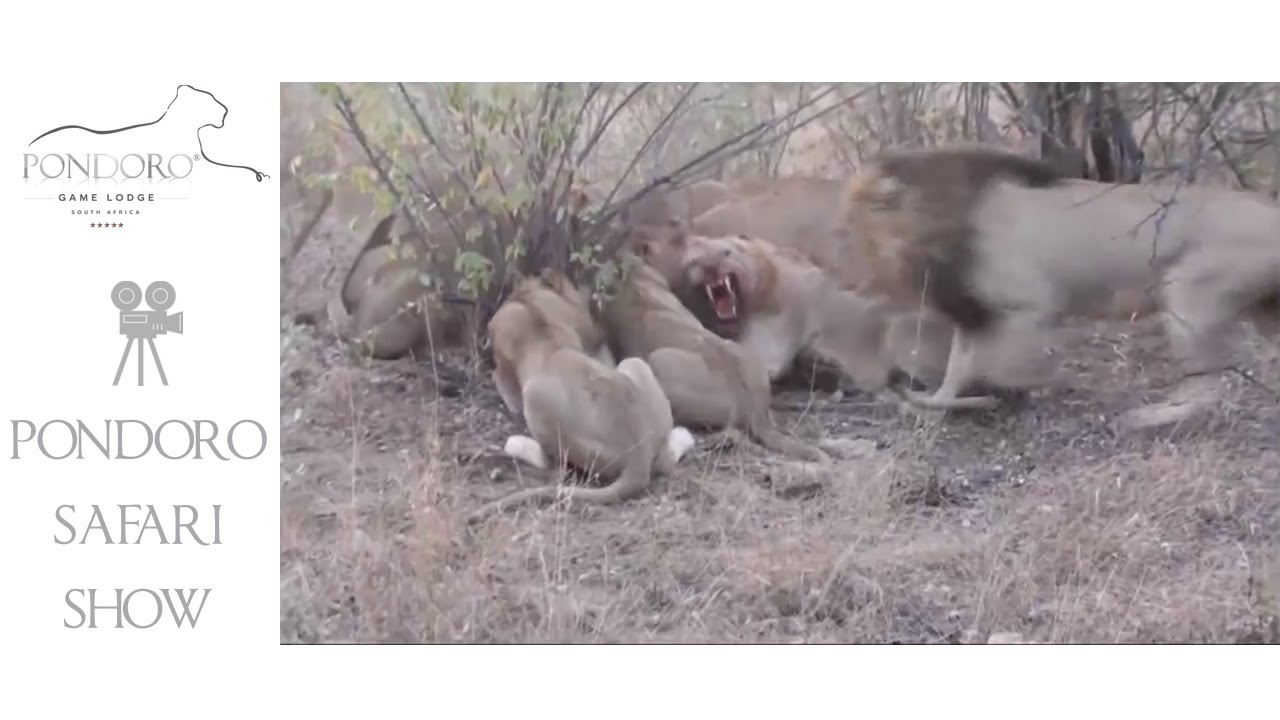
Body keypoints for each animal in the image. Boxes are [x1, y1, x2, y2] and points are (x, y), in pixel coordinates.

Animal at [470, 270, 695, 522]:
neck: (529, 304)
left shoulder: (506, 368)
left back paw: (516, 444)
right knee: (666, 457)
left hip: (536, 399)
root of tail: (639, 456)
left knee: (553, 466)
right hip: (635, 364)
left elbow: (502, 382)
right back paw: (682, 435)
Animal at [842, 143, 1280, 428]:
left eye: (850, 233)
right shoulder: (973, 314)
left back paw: (1144, 417)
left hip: (1189, 298)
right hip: (1262, 311)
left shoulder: (1031, 306)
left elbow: (1002, 366)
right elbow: (956, 368)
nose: (853, 282)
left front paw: (1014, 391)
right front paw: (936, 407)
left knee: (1209, 385)